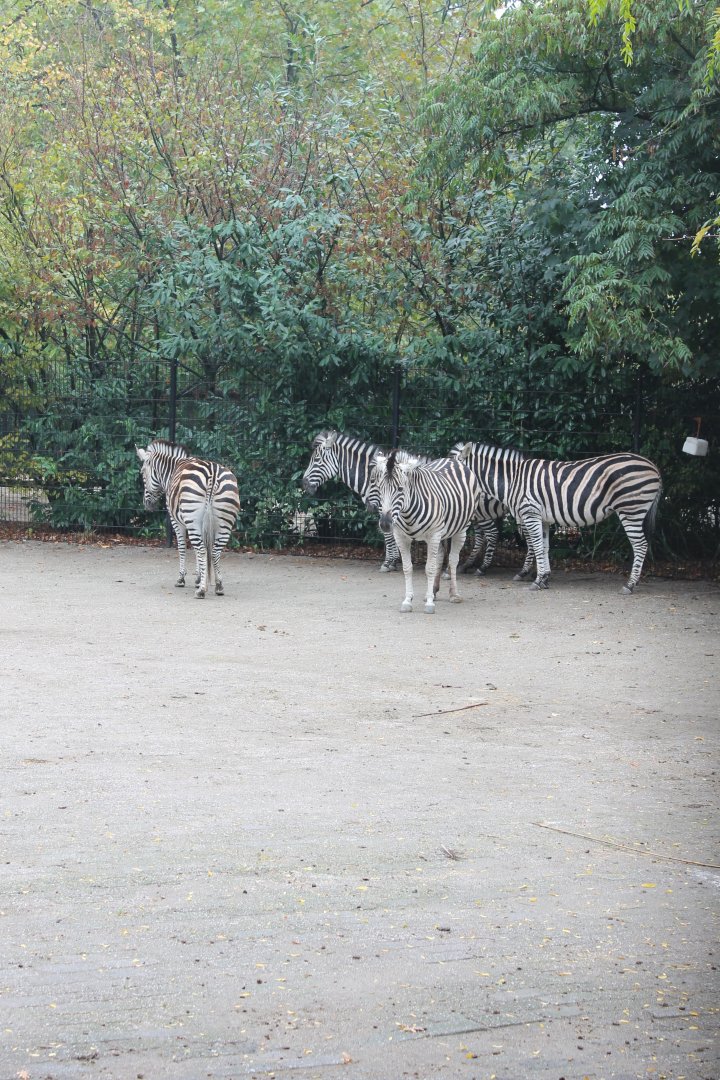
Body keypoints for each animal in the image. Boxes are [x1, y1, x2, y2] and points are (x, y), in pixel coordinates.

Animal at [136, 439, 240, 598]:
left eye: (142, 473)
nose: (147, 505)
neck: (171, 471)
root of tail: (213, 473)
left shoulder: (176, 521)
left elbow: (182, 547)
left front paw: (182, 579)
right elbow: (197, 552)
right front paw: (199, 577)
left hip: (193, 519)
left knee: (203, 550)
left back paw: (201, 590)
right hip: (224, 521)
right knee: (215, 551)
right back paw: (219, 586)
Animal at [367, 450, 481, 613]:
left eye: (400, 489)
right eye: (380, 488)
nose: (385, 524)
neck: (407, 512)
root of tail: (453, 459)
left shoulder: (433, 535)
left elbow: (430, 568)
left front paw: (429, 604)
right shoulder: (401, 537)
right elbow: (407, 568)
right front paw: (408, 601)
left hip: (461, 529)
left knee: (453, 559)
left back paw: (454, 594)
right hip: (442, 533)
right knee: (440, 556)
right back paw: (433, 591)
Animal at [451, 441, 662, 593]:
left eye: (451, 468)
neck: (512, 480)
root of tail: (653, 466)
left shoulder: (530, 513)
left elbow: (536, 546)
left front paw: (537, 580)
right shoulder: (542, 518)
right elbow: (544, 547)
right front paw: (544, 578)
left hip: (631, 509)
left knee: (640, 545)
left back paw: (630, 585)